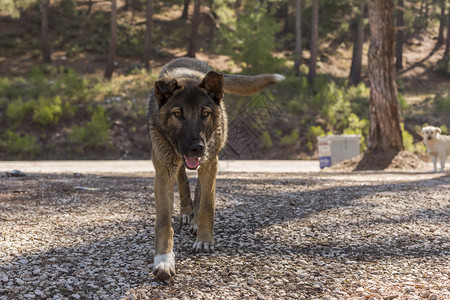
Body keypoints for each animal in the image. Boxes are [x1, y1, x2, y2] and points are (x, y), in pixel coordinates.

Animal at [147, 56, 284, 282]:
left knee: (201, 190)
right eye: (178, 114)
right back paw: (187, 211)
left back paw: (195, 221)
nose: (197, 147)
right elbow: (163, 221)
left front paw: (204, 239)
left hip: (209, 159)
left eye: (205, 113)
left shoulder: (210, 163)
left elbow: (207, 205)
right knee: (183, 179)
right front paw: (164, 260)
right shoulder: (164, 169)